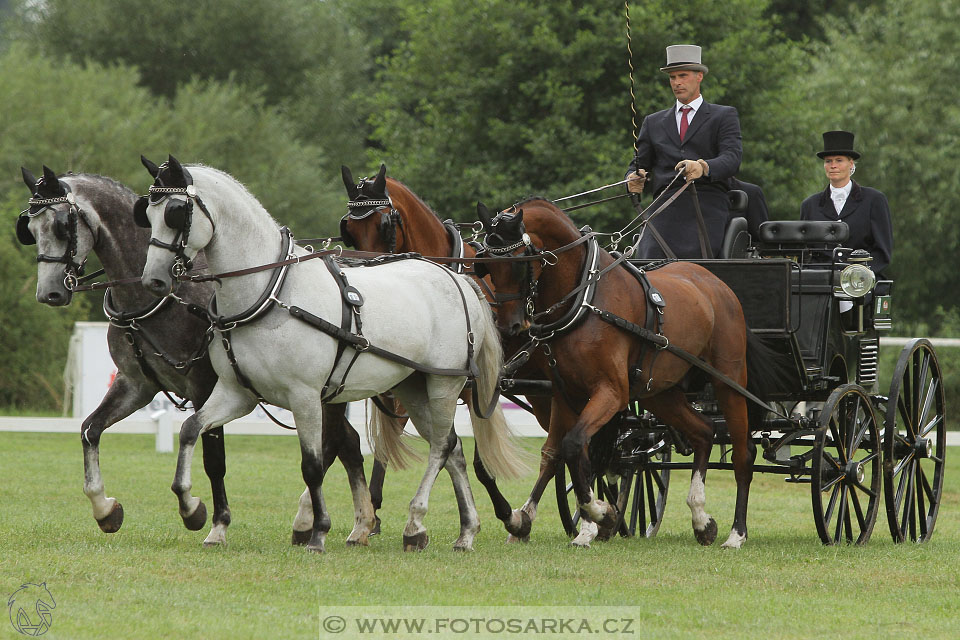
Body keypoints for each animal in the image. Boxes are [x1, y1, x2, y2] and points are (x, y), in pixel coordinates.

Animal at [17, 168, 376, 548]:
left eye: (61, 226)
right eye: (29, 228)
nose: (49, 293)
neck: (160, 298)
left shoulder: (206, 385)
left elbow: (213, 460)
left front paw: (202, 515)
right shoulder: (137, 385)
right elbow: (90, 430)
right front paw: (105, 509)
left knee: (333, 444)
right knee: (348, 443)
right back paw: (355, 524)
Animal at [340, 164, 552, 540]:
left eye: (385, 225)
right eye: (348, 230)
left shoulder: (471, 387)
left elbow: (473, 458)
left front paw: (505, 515)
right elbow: (395, 443)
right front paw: (372, 512)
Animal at [476, 198, 784, 548]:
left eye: (520, 263)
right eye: (486, 264)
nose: (509, 326)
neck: (585, 299)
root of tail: (716, 283)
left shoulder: (611, 392)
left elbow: (573, 445)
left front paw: (600, 515)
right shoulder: (565, 394)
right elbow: (558, 452)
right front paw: (529, 519)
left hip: (728, 380)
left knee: (744, 454)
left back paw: (736, 533)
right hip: (659, 393)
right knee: (704, 432)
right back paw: (701, 519)